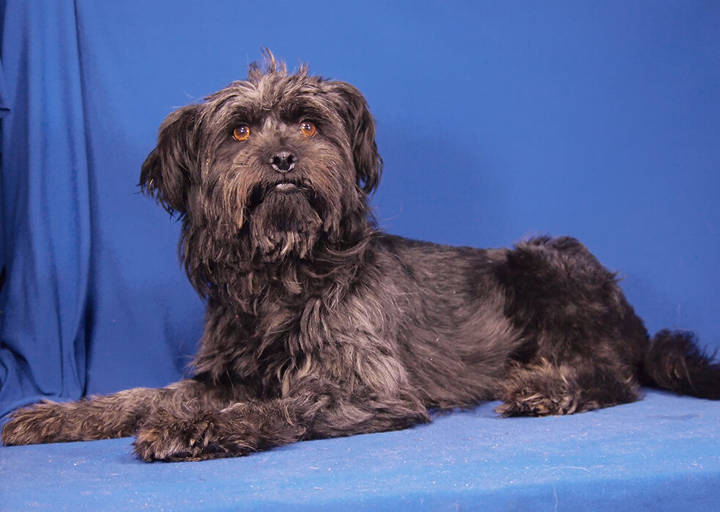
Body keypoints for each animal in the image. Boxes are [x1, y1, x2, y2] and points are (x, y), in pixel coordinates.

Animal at [3, 54, 719, 461]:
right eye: (240, 131)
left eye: (309, 125)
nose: (283, 159)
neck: (285, 274)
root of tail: (633, 320)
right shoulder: (226, 372)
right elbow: (144, 396)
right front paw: (57, 416)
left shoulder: (372, 389)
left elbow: (283, 406)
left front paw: (197, 430)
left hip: (543, 258)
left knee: (614, 377)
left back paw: (545, 387)